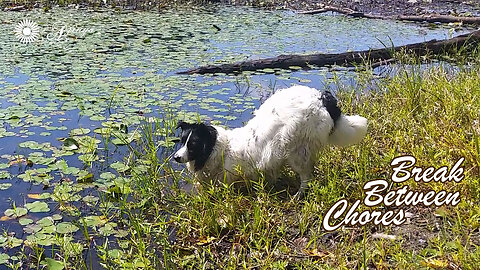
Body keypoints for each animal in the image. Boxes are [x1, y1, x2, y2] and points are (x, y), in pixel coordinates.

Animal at [173, 85, 368, 197]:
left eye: (193, 144)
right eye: (181, 142)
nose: (176, 157)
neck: (218, 150)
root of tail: (320, 98)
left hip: (297, 150)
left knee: (306, 176)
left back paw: (298, 195)